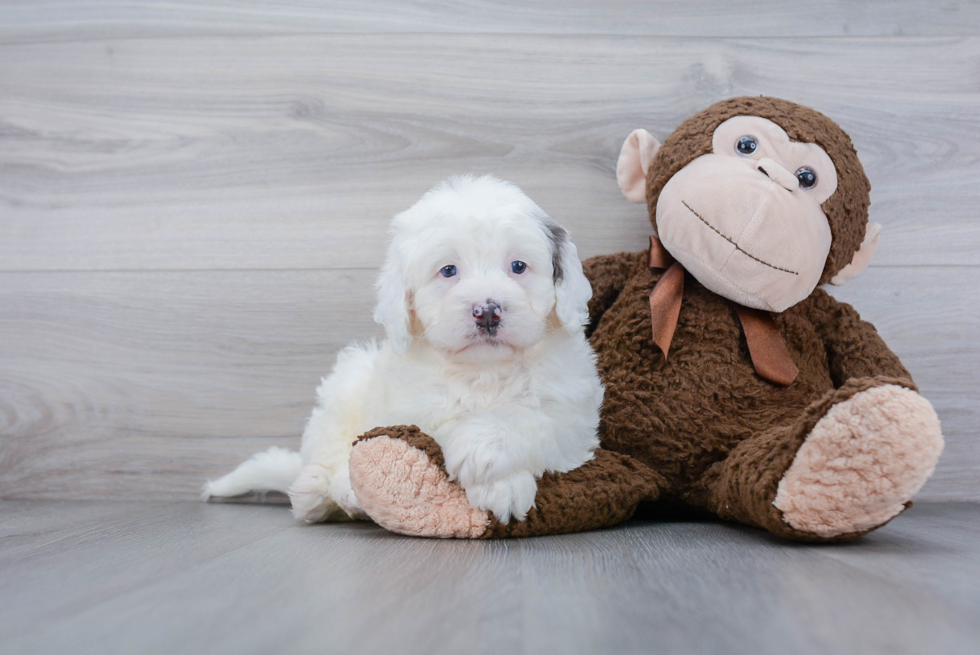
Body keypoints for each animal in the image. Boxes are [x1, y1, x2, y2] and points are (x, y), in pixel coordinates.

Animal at [205, 174, 604, 524]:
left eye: (518, 266)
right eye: (448, 270)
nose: (487, 311)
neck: (484, 370)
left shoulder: (574, 417)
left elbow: (534, 419)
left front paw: (485, 456)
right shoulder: (414, 408)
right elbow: (436, 426)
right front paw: (499, 483)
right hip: (347, 383)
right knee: (325, 449)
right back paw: (322, 490)